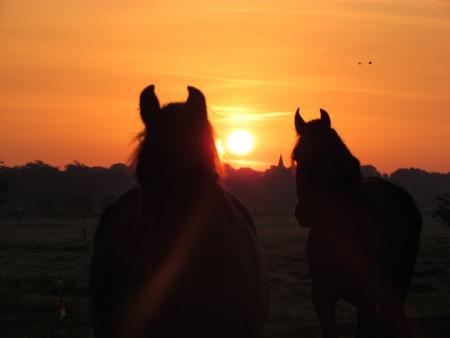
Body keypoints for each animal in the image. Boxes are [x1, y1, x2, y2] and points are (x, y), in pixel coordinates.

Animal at [292, 109, 422, 338]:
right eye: (297, 157)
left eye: (328, 157)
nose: (306, 211)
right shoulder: (322, 297)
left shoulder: (365, 300)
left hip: (399, 280)